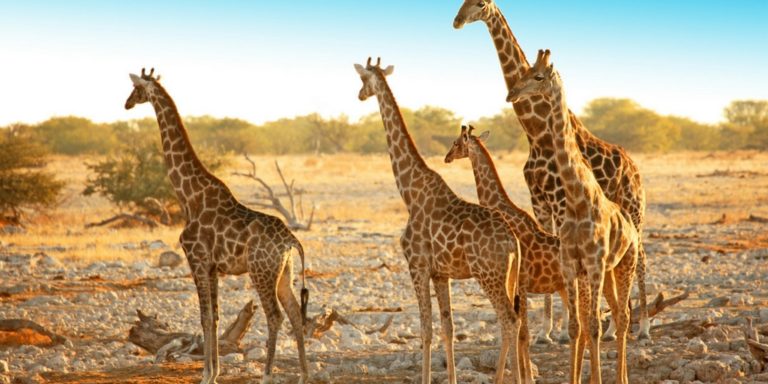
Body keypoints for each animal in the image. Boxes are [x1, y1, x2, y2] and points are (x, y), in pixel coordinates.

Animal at [123, 69, 308, 384]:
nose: (126, 104)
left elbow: (205, 316)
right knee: (295, 314)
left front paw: (206, 375)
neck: (189, 196)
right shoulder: (213, 267)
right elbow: (216, 316)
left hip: (261, 271)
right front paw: (215, 372)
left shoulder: (196, 258)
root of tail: (290, 240)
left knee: (275, 316)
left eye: (136, 88)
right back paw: (305, 375)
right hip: (284, 272)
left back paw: (267, 375)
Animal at [356, 57, 524, 384]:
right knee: (515, 320)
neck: (409, 192)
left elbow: (426, 330)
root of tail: (513, 242)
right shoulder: (440, 273)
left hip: (489, 276)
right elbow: (448, 328)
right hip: (510, 277)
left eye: (362, 79)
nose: (359, 95)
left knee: (509, 320)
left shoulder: (417, 266)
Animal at [440, 126, 568, 380]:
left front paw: (525, 377)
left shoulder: (522, 281)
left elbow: (522, 333)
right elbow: (519, 333)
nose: (447, 157)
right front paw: (525, 375)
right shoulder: (519, 284)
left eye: (456, 142)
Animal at [452, 0, 652, 340]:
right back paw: (613, 327)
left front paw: (566, 326)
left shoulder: (559, 201)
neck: (536, 133)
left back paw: (644, 326)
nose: (457, 21)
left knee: (642, 258)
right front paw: (547, 330)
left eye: (479, 4)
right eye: (462, 1)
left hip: (634, 208)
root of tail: (634, 168)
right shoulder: (540, 203)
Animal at [508, 49, 640, 382]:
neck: (578, 198)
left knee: (624, 315)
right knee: (617, 312)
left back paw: (621, 377)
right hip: (608, 271)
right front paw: (577, 376)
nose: (511, 93)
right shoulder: (571, 265)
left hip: (625, 264)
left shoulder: (593, 264)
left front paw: (596, 378)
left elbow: (592, 326)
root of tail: (631, 227)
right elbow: (574, 327)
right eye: (524, 71)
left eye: (538, 76)